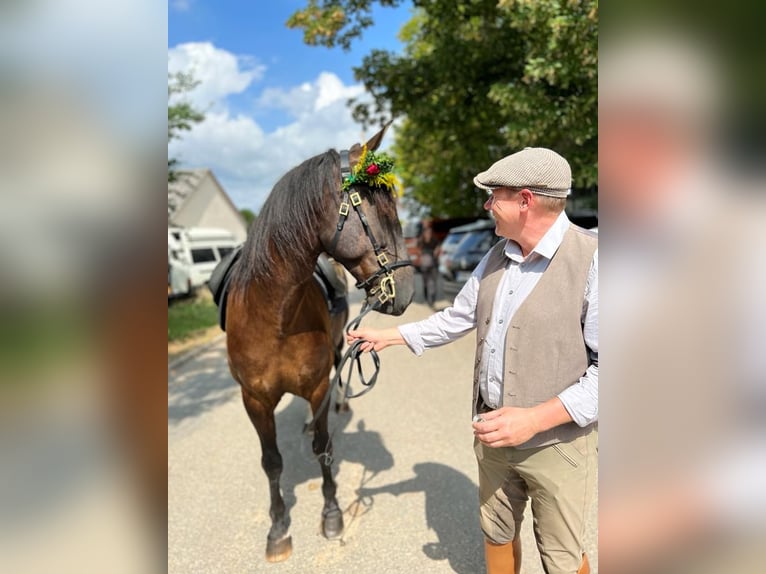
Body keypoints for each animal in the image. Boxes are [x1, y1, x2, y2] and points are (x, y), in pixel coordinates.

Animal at [225, 126, 416, 564]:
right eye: (382, 212)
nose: (407, 291)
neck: (273, 318)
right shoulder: (253, 400)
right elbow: (272, 463)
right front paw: (278, 528)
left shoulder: (315, 388)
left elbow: (322, 446)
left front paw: (331, 515)